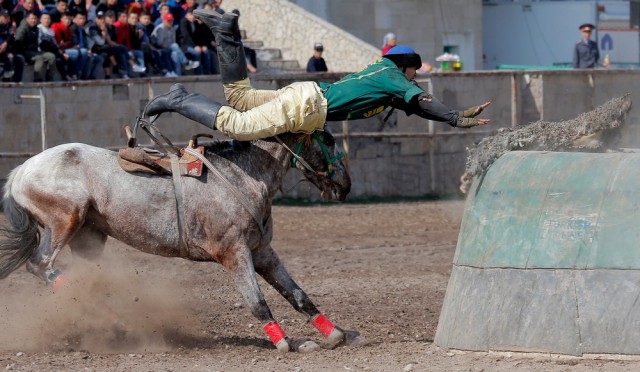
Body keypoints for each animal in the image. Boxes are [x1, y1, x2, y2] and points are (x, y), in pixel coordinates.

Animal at [0, 130, 350, 352]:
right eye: (328, 139)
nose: (345, 184)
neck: (242, 176)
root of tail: (20, 171)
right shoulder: (234, 253)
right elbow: (257, 301)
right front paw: (283, 342)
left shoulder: (262, 252)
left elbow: (297, 294)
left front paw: (334, 334)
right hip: (65, 220)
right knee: (40, 265)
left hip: (89, 238)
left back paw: (112, 322)